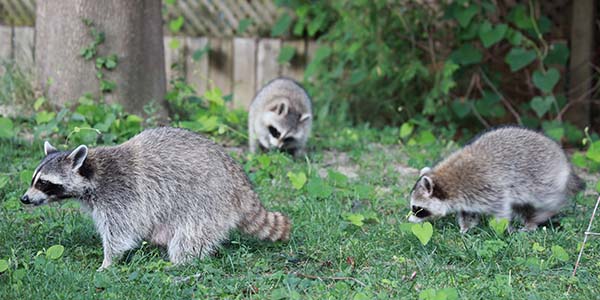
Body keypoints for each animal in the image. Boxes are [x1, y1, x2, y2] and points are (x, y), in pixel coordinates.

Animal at [19, 126, 290, 270]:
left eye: (44, 183)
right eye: (33, 179)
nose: (24, 199)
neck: (94, 171)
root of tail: (241, 183)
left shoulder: (121, 194)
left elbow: (119, 234)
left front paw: (108, 262)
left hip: (208, 200)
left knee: (190, 235)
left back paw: (179, 263)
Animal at [410, 125, 584, 233]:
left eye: (417, 208)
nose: (410, 221)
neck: (448, 183)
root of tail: (563, 158)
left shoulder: (487, 187)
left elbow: (501, 208)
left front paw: (501, 228)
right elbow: (467, 213)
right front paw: (466, 227)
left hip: (542, 178)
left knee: (547, 199)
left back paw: (538, 217)